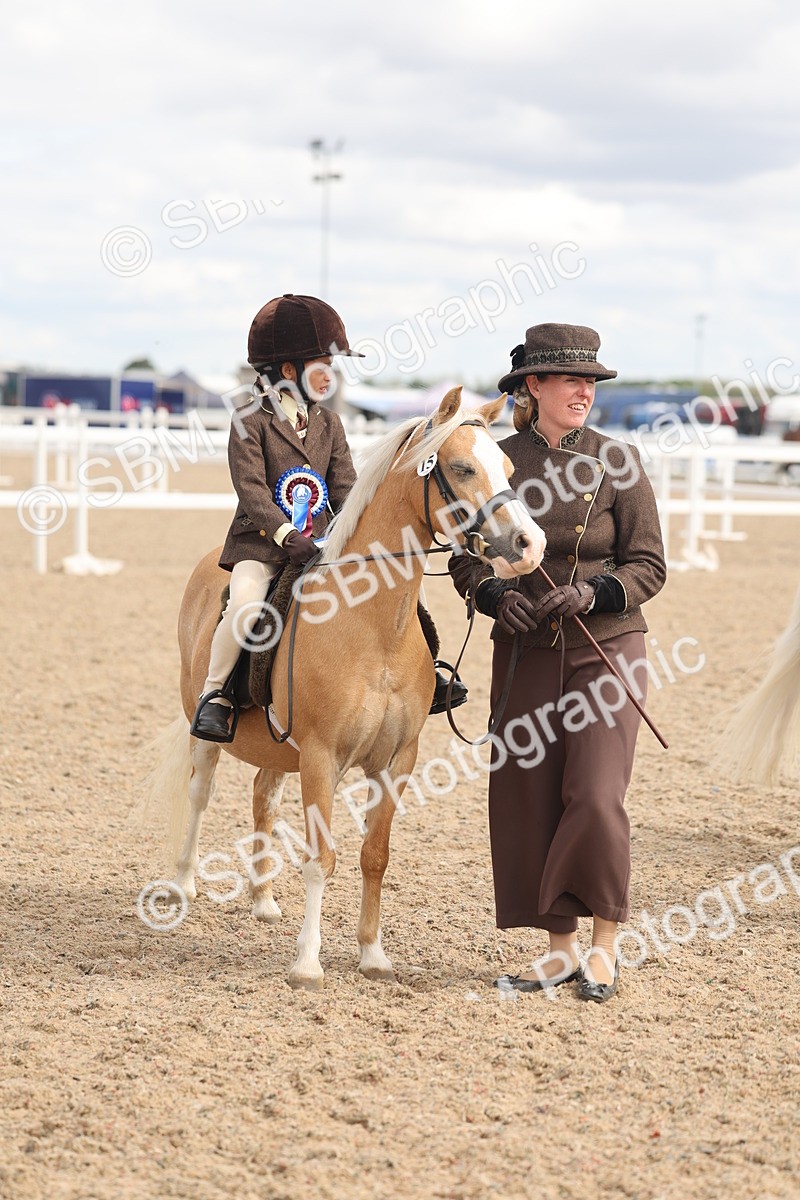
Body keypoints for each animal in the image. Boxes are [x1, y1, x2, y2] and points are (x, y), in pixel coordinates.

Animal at [145, 387, 546, 989]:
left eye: (507, 466)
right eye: (461, 467)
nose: (529, 545)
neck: (372, 627)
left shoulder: (397, 760)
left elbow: (374, 855)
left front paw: (372, 955)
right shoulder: (322, 758)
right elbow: (321, 857)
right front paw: (308, 964)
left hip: (280, 750)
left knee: (263, 796)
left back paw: (263, 901)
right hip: (207, 729)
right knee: (200, 792)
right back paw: (184, 885)